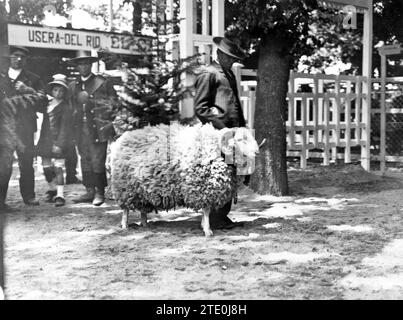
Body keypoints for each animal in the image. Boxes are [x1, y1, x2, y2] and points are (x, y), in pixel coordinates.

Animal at [111, 121, 258, 236]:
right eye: (240, 140)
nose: (257, 152)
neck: (215, 151)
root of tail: (121, 139)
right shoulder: (203, 188)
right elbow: (206, 210)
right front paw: (207, 230)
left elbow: (206, 211)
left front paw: (204, 226)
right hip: (125, 187)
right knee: (125, 209)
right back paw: (125, 225)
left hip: (142, 189)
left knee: (142, 207)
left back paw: (144, 223)